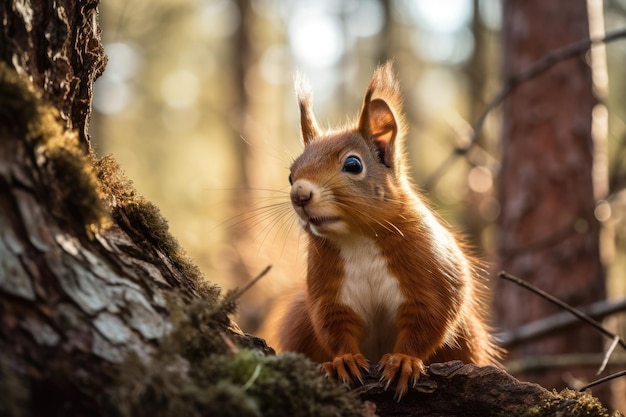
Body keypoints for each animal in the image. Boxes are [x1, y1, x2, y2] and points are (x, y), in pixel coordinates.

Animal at [270, 61, 500, 396]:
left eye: (353, 165)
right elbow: (332, 325)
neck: (357, 237)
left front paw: (404, 360)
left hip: (468, 335)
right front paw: (344, 360)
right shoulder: (327, 290)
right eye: (290, 175)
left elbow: (430, 319)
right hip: (299, 317)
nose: (299, 195)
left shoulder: (432, 272)